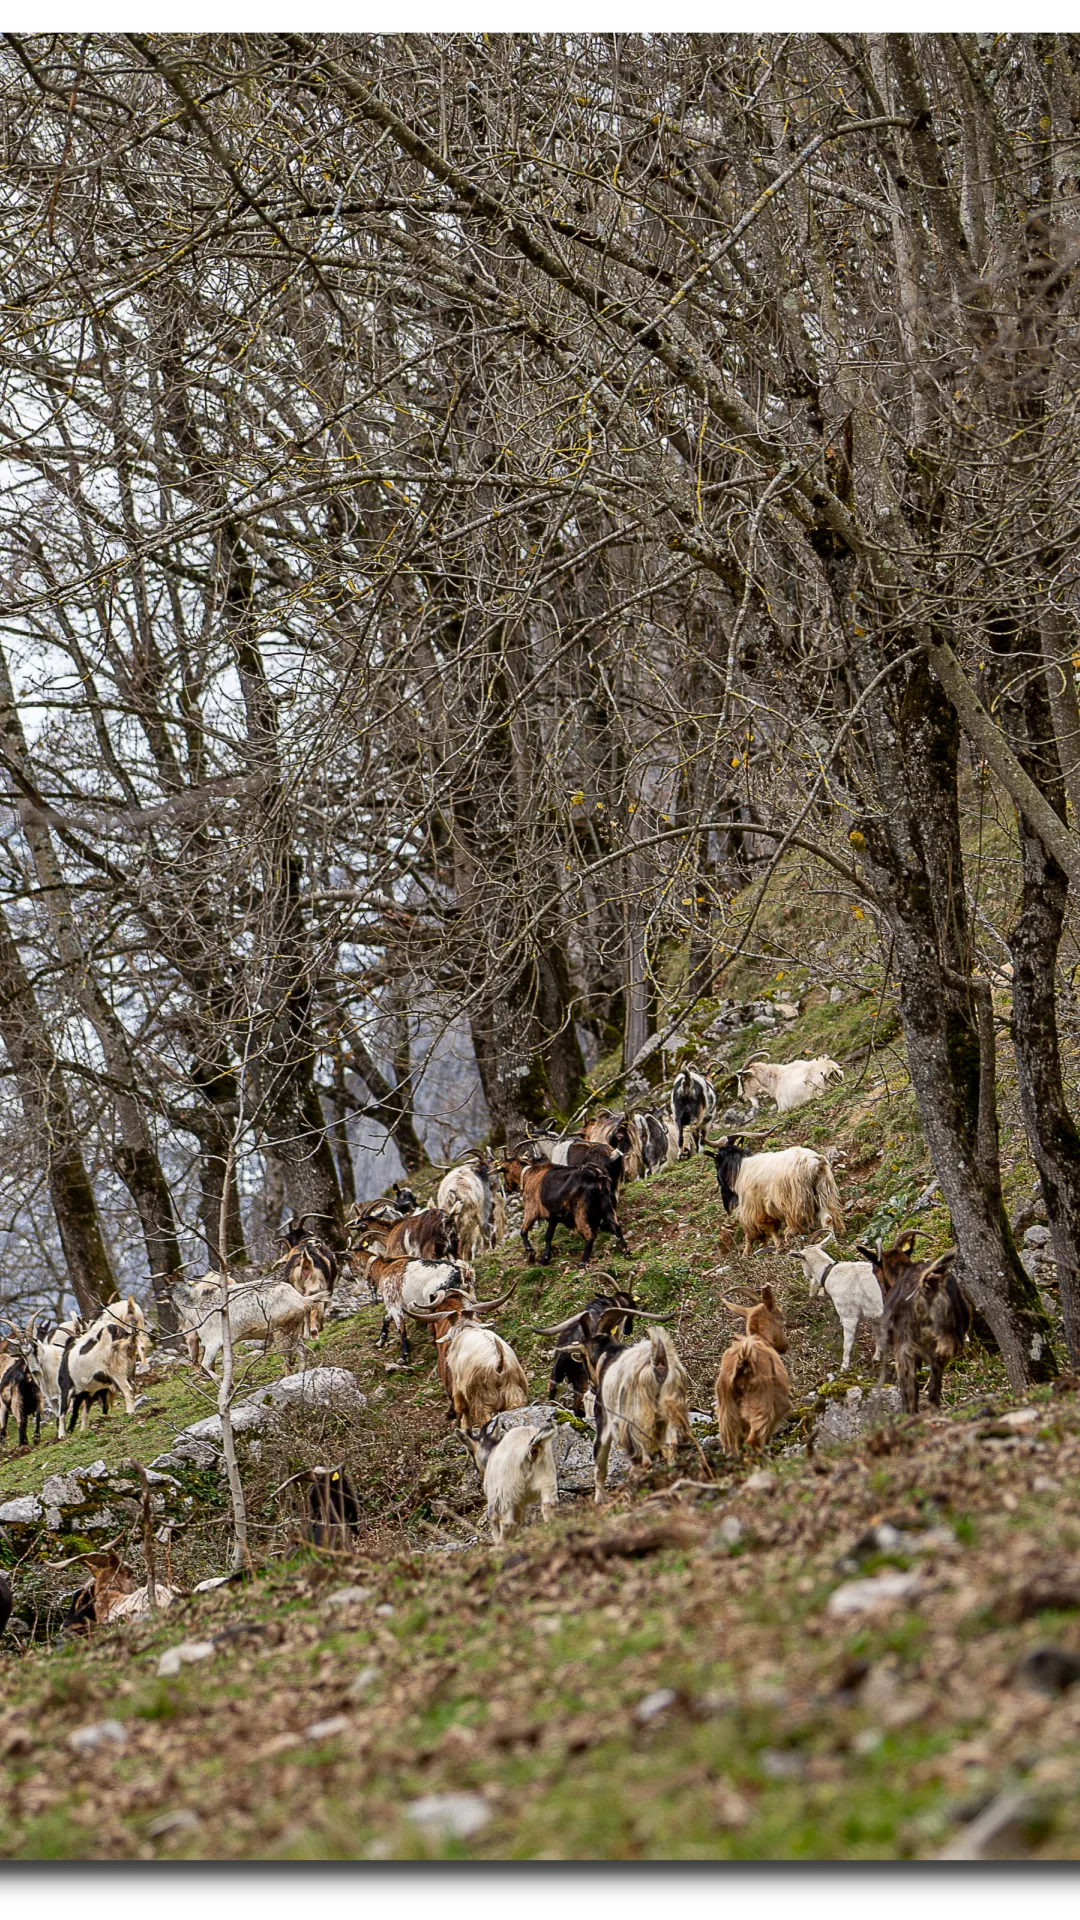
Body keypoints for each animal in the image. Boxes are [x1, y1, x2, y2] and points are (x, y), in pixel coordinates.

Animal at [552, 1306, 689, 1503]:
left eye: (584, 1356)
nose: (593, 1386)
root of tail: (657, 1361)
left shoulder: (604, 1418)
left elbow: (600, 1461)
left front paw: (599, 1500)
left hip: (636, 1417)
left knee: (644, 1459)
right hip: (669, 1411)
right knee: (671, 1450)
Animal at [712, 1137, 844, 1254]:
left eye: (717, 1162)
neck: (740, 1169)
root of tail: (816, 1161)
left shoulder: (754, 1208)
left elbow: (758, 1230)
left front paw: (751, 1252)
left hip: (796, 1201)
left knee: (797, 1225)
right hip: (823, 1193)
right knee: (827, 1218)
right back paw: (833, 1243)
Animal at [714, 1285, 792, 1454]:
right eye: (782, 1319)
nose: (785, 1346)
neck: (761, 1338)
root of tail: (743, 1362)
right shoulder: (779, 1406)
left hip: (727, 1413)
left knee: (731, 1445)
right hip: (760, 1404)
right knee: (754, 1441)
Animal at [798, 1239, 884, 1373]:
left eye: (801, 1260)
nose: (806, 1275)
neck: (830, 1273)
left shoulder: (849, 1316)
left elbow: (847, 1344)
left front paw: (844, 1368)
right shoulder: (873, 1315)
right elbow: (878, 1335)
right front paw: (877, 1357)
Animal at [857, 1231, 971, 1414]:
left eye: (875, 1270)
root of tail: (929, 1286)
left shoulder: (902, 1348)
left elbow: (909, 1388)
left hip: (909, 1345)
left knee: (913, 1387)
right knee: (934, 1390)